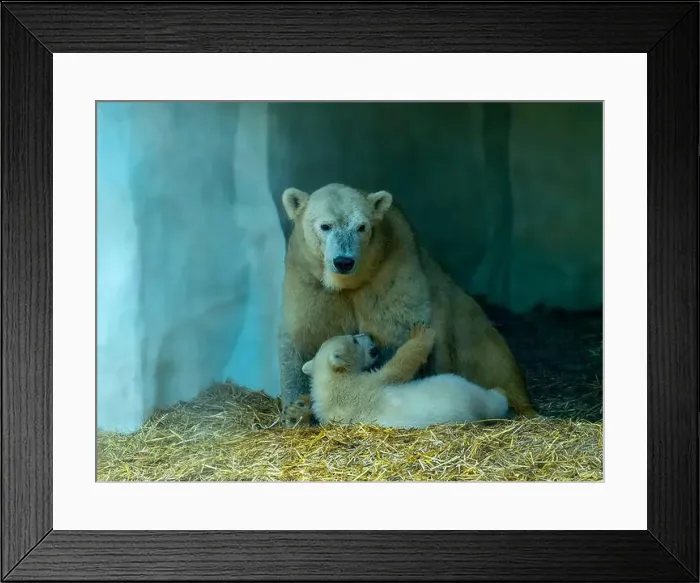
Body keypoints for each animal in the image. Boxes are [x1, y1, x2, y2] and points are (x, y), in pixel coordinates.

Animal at [299, 324, 511, 429]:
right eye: (353, 339)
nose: (369, 335)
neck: (332, 386)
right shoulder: (364, 386)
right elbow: (398, 367)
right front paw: (421, 334)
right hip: (457, 390)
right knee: (487, 400)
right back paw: (500, 392)